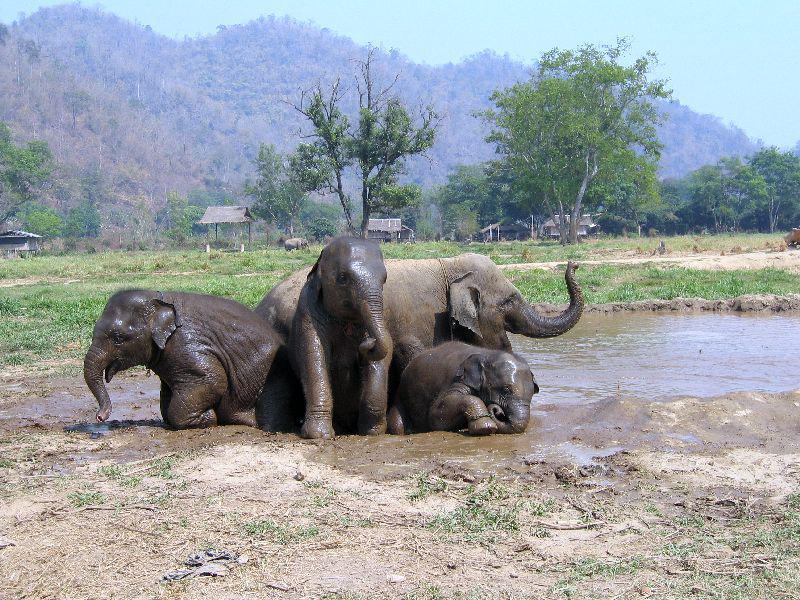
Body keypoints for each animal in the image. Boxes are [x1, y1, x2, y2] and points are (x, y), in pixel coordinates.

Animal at [84, 289, 279, 429]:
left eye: (118, 338)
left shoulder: (185, 342)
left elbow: (213, 380)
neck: (159, 299)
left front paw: (209, 418)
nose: (100, 417)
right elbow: (166, 400)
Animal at [287, 236, 392, 439]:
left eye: (384, 279)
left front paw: (372, 432)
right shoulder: (308, 310)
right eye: (342, 278)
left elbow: (386, 350)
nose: (367, 342)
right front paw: (318, 435)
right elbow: (313, 355)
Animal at [387, 342, 538, 435]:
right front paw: (486, 427)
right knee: (397, 424)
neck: (487, 354)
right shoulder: (457, 380)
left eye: (532, 394)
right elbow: (436, 415)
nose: (498, 411)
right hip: (401, 399)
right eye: (506, 390)